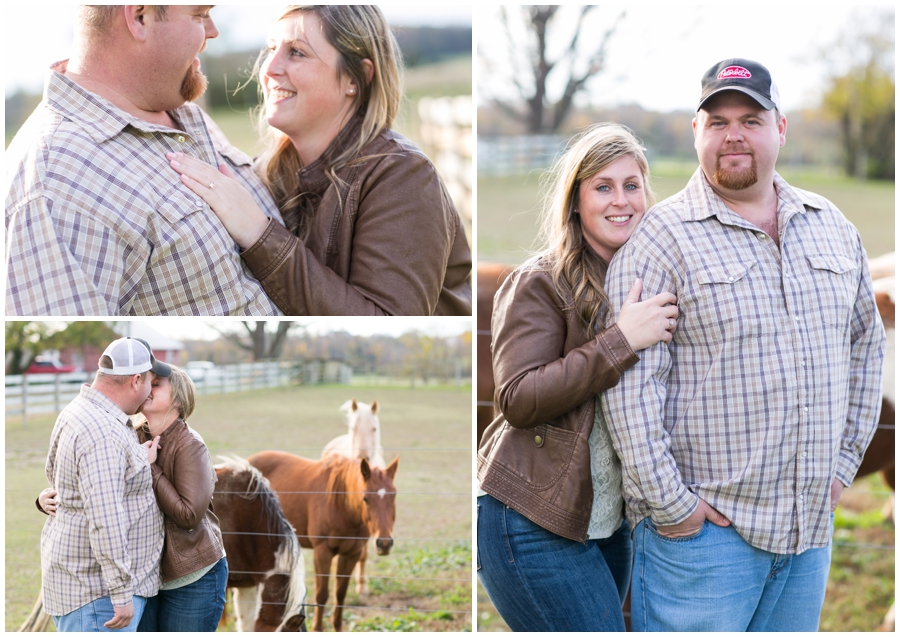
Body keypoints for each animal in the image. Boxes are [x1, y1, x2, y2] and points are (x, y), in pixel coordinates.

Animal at [248, 452, 400, 632]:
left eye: (394, 495)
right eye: (365, 498)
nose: (384, 543)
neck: (341, 505)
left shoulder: (351, 554)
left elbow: (340, 592)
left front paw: (338, 627)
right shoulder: (323, 552)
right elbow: (322, 593)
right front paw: (317, 628)